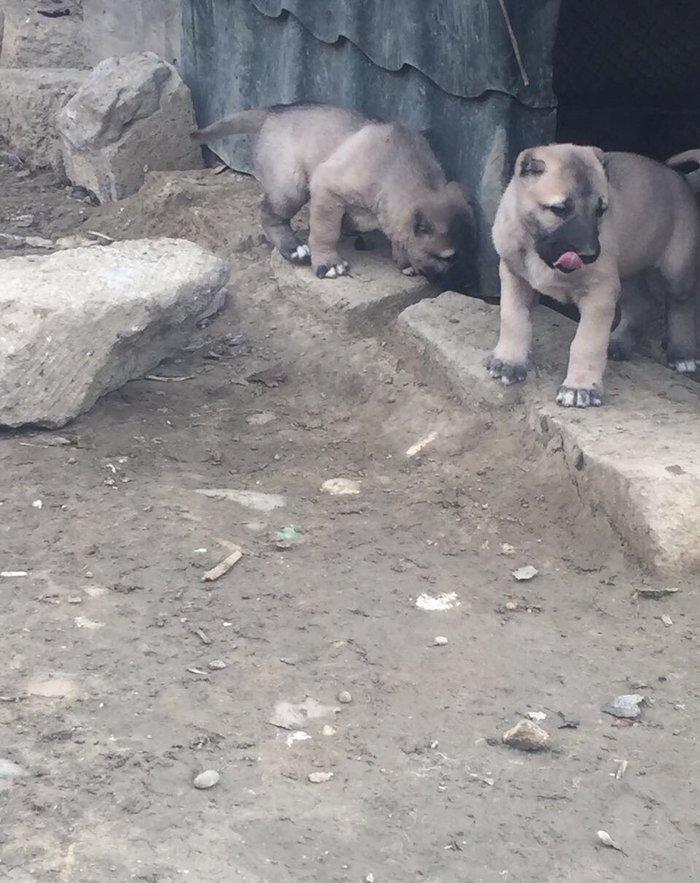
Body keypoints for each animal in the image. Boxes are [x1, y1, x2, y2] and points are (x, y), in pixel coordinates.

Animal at [192, 103, 476, 284]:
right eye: (448, 257)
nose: (456, 283)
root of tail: (273, 112)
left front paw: (404, 261)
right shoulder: (327, 189)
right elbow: (325, 231)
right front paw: (329, 263)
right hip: (291, 188)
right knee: (268, 212)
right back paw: (292, 247)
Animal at [487, 144, 700, 407]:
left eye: (601, 210)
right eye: (559, 209)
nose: (589, 254)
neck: (538, 251)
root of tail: (682, 180)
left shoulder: (599, 294)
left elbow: (587, 342)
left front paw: (581, 387)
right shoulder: (514, 276)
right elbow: (513, 319)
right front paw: (509, 361)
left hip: (676, 271)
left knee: (683, 306)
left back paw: (683, 353)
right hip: (626, 274)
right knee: (640, 306)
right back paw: (619, 342)